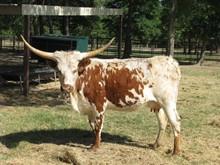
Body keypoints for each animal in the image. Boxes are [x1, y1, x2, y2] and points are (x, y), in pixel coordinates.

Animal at [21, 35, 181, 155]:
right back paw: (156, 144)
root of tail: (170, 60)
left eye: (75, 69)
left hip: (168, 102)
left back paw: (175, 152)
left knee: (175, 122)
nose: (66, 87)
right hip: (158, 104)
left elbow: (98, 126)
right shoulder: (89, 108)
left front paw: (95, 147)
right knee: (163, 122)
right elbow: (92, 126)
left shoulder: (99, 105)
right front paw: (96, 143)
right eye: (59, 71)